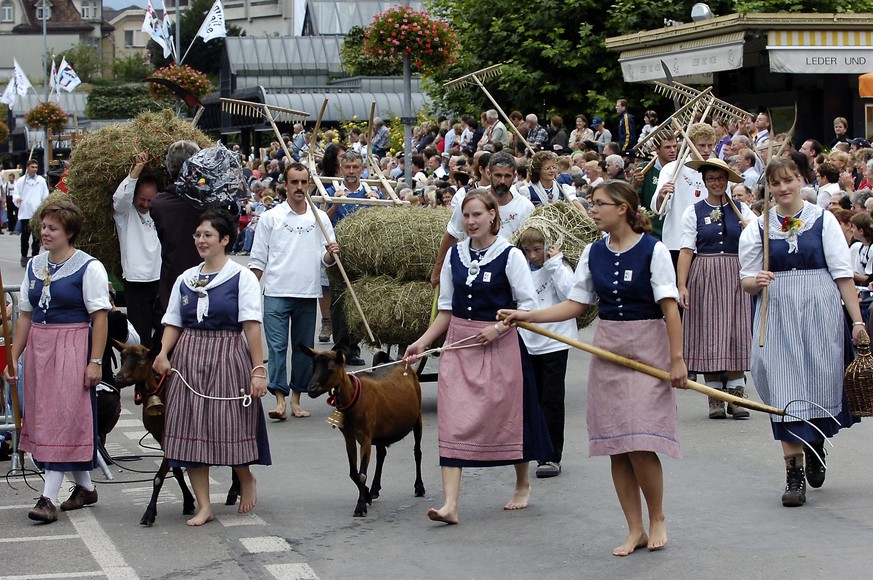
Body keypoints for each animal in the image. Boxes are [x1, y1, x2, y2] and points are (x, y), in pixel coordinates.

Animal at [116, 342, 240, 528]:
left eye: (141, 359)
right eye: (122, 357)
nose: (118, 377)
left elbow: (159, 477)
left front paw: (149, 513)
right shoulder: (161, 438)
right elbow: (176, 471)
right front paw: (188, 502)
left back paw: (234, 491)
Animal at [304, 346, 426, 520]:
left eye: (331, 367)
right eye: (313, 366)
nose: (311, 389)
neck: (353, 398)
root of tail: (404, 364)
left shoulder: (366, 437)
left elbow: (361, 474)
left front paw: (360, 506)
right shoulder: (349, 436)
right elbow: (353, 473)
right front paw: (367, 495)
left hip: (417, 418)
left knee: (417, 452)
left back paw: (419, 487)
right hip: (382, 429)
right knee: (381, 454)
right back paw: (375, 489)